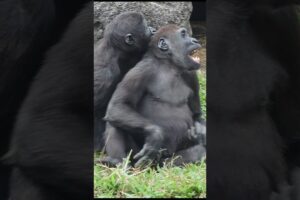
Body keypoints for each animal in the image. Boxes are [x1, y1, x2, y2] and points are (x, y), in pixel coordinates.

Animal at [101, 23, 206, 167]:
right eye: (184, 34)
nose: (195, 40)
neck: (169, 65)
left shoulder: (191, 75)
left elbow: (196, 114)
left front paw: (200, 130)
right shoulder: (141, 71)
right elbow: (118, 105)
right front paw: (155, 134)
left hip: (167, 157)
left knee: (196, 153)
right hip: (136, 156)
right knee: (115, 120)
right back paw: (117, 161)